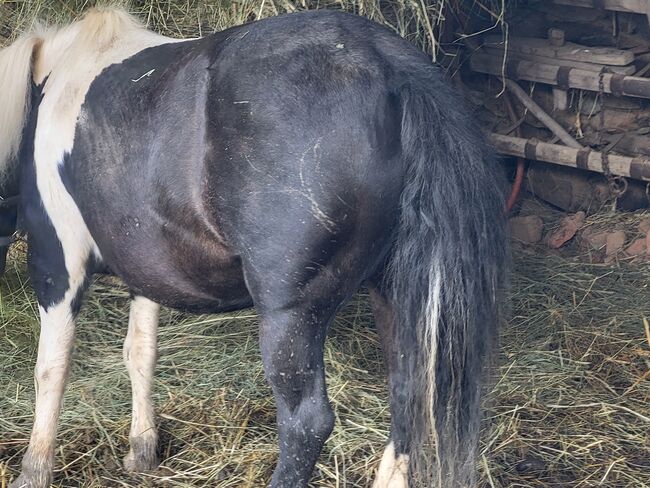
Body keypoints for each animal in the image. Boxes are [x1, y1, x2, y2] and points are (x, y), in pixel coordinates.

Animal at [0, 8, 506, 488]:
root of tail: (389, 67)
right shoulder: (144, 268)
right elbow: (140, 352)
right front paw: (141, 450)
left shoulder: (56, 263)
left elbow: (52, 367)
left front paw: (34, 470)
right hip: (395, 295)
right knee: (408, 395)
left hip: (291, 316)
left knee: (306, 422)